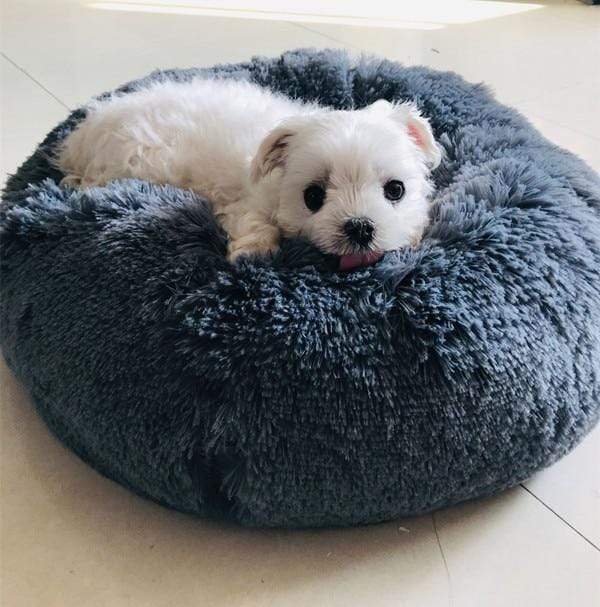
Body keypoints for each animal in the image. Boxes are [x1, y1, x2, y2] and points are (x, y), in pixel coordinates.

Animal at [57, 78, 440, 270]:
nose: (359, 227)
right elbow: (253, 222)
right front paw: (253, 252)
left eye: (395, 190)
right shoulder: (245, 201)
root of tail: (88, 129)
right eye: (313, 197)